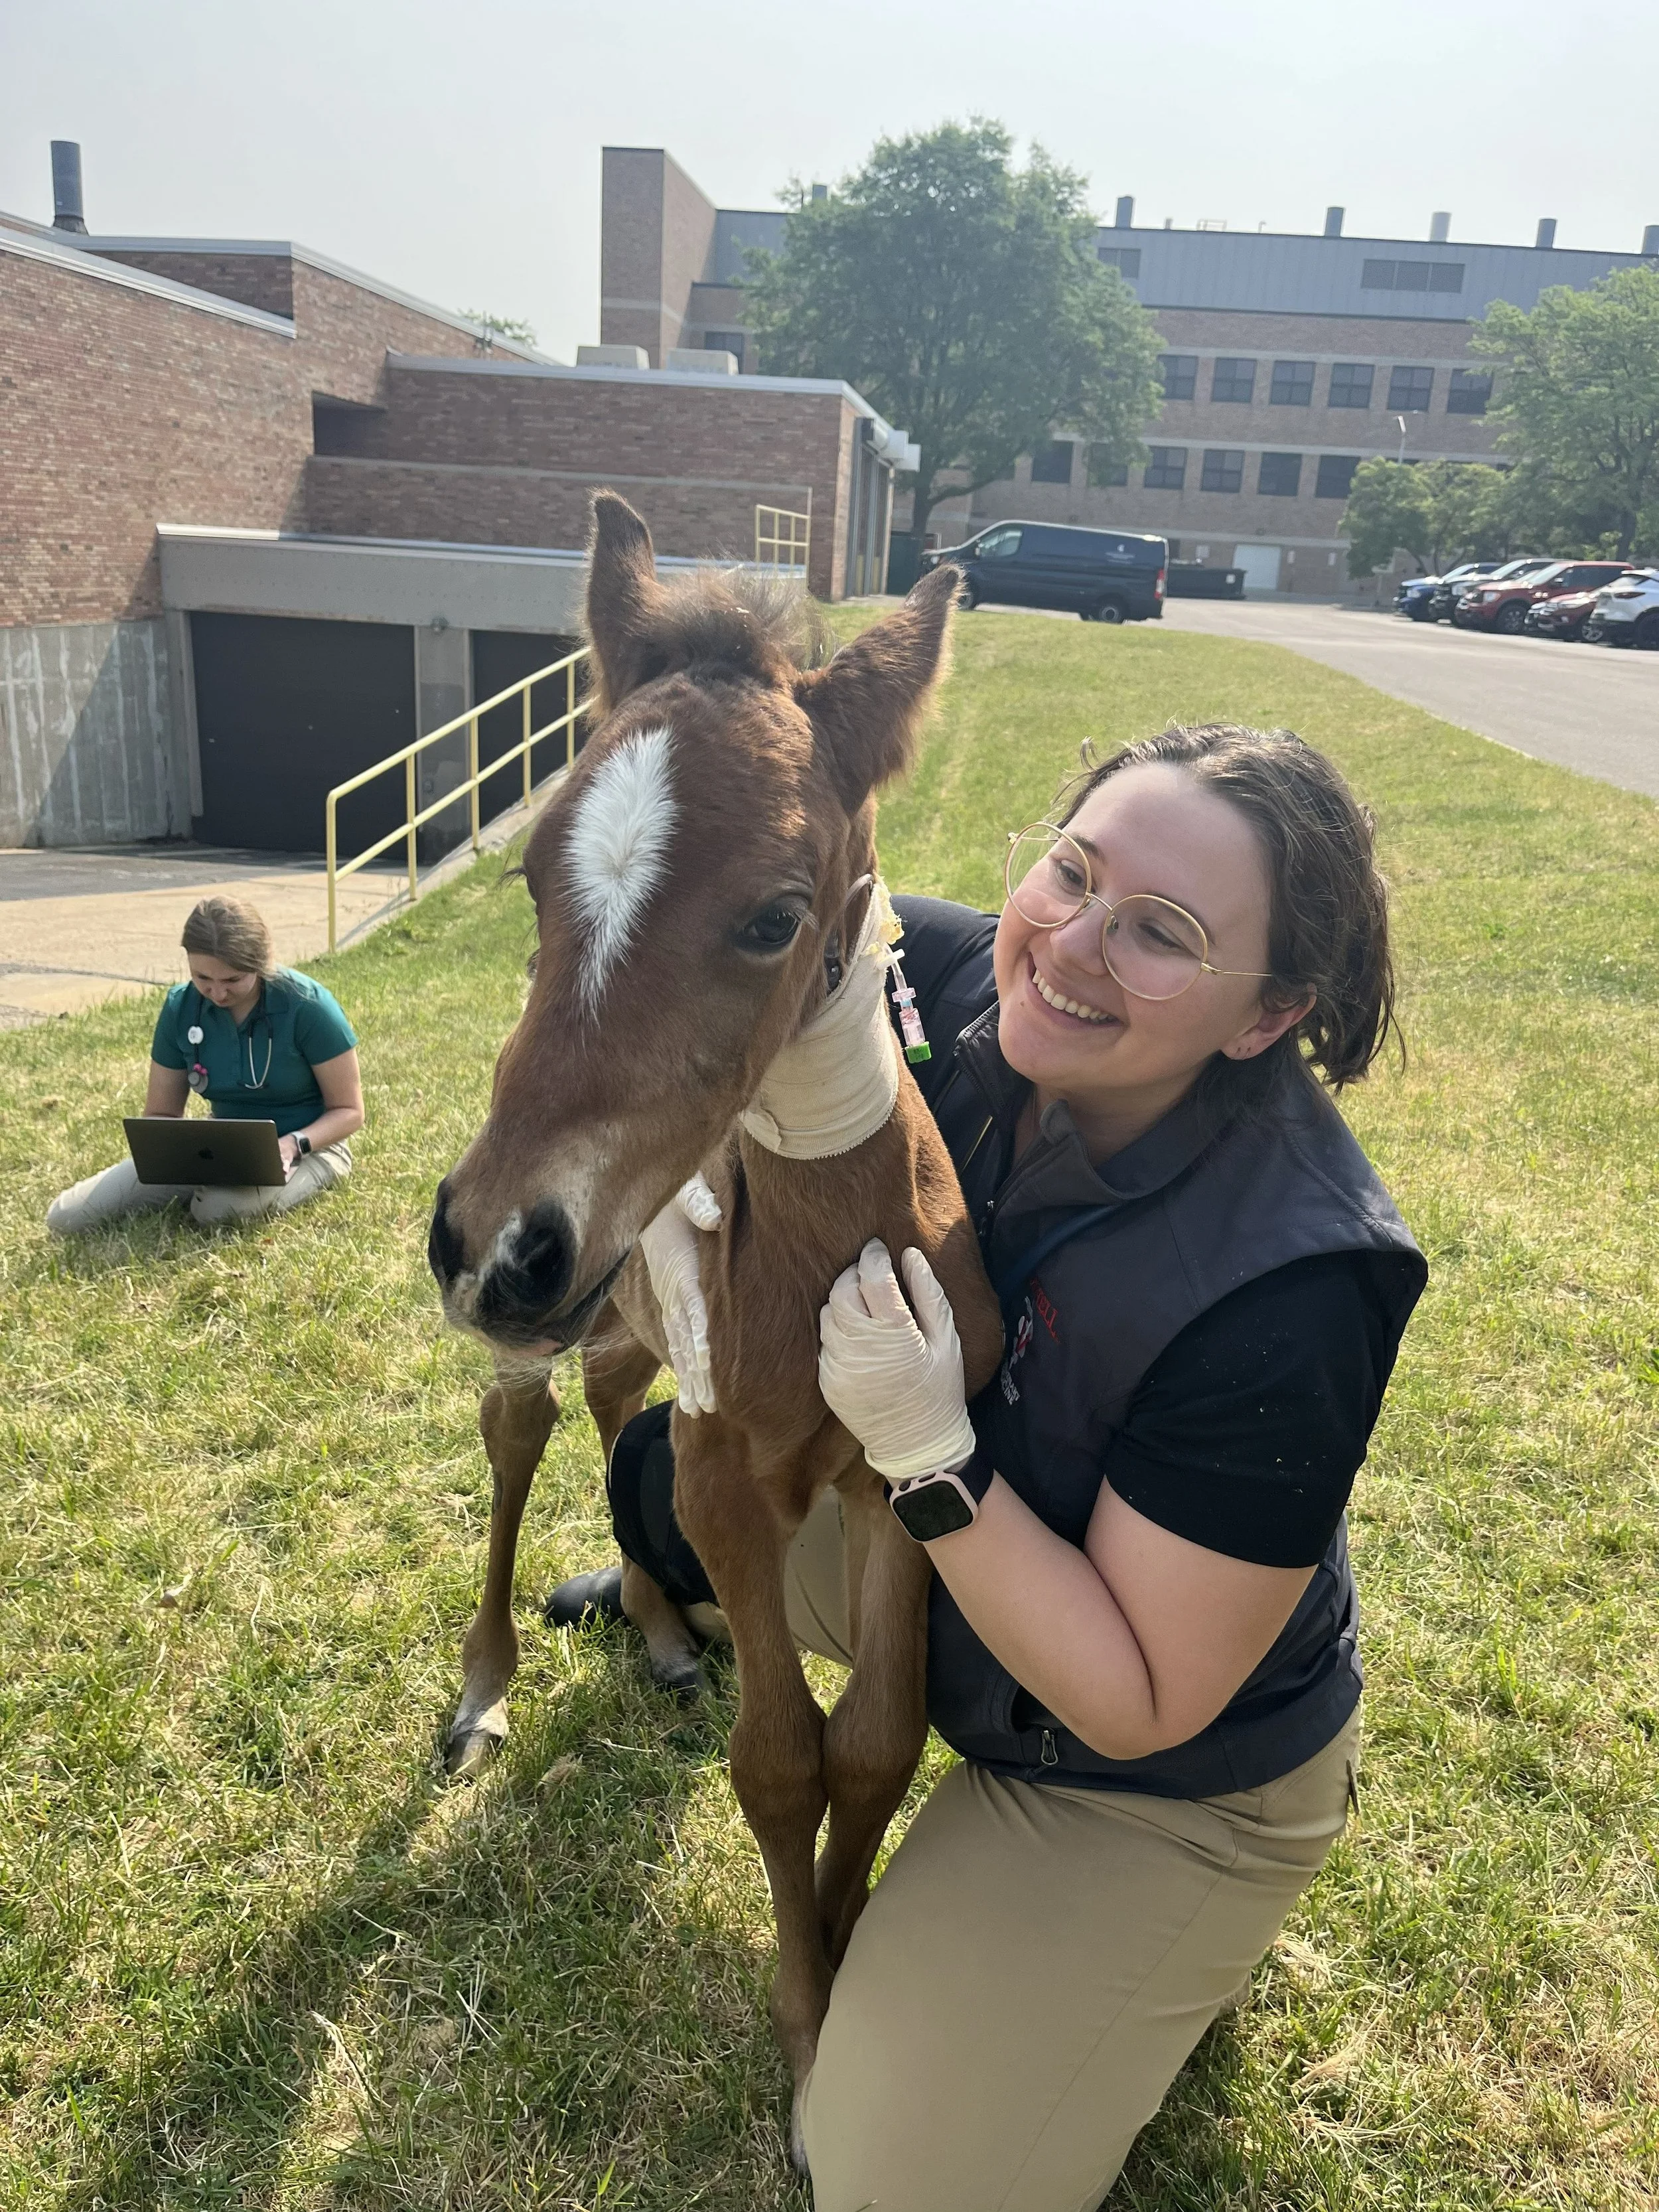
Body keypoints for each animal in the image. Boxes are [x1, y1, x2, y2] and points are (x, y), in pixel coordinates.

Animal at [428, 491, 1003, 2147]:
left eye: (771, 916)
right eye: (529, 876)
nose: (498, 1239)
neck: (818, 1246)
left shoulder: (895, 1468)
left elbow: (872, 1741)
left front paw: (847, 1946)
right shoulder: (733, 1476)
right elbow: (777, 1758)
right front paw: (809, 2026)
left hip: (614, 1304)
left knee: (611, 1396)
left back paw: (658, 1623)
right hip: (553, 1331)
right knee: (522, 1421)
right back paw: (490, 1685)